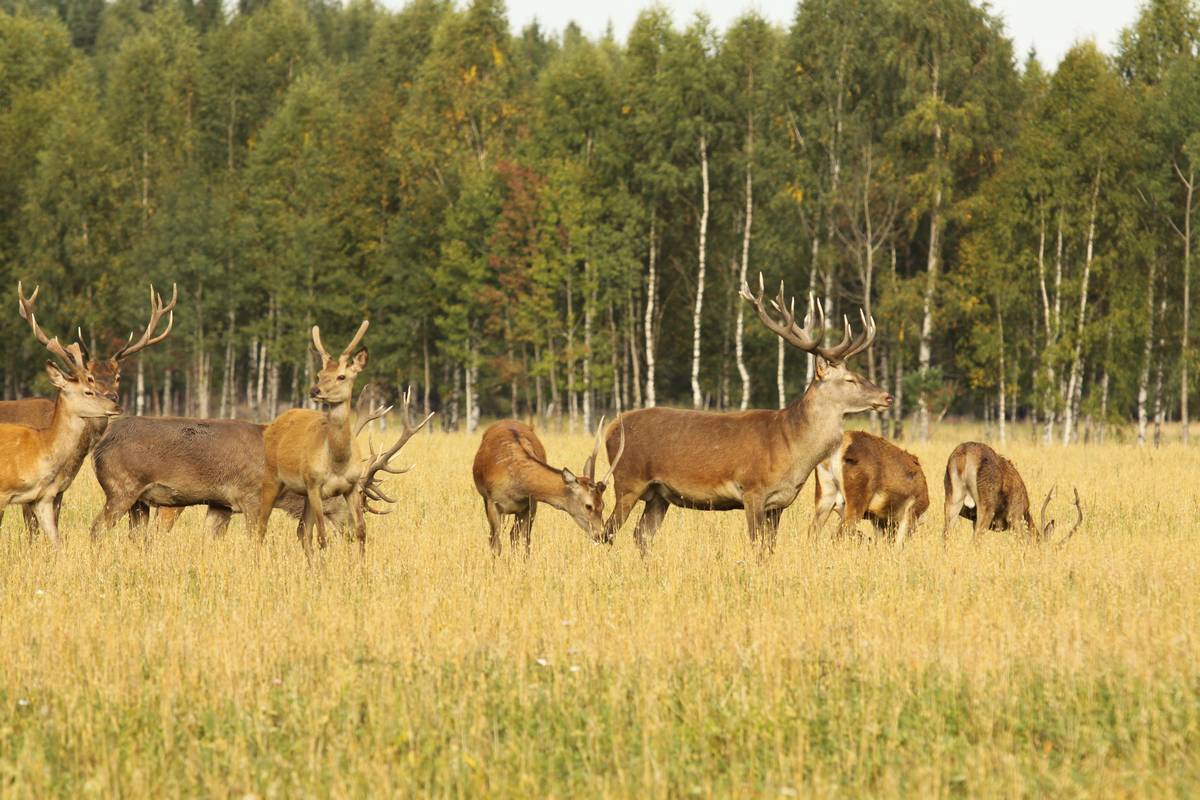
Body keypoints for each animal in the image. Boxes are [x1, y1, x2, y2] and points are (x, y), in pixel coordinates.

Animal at [255, 321, 434, 561]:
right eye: (319, 374)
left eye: (342, 376)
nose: (315, 390)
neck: (338, 462)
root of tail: (277, 420)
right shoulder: (316, 487)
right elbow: (323, 537)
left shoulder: (347, 487)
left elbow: (361, 532)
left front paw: (359, 564)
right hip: (273, 478)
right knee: (261, 527)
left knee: (302, 531)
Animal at [470, 419, 628, 556]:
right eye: (588, 506)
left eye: (603, 504)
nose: (602, 535)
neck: (516, 486)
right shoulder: (492, 502)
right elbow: (495, 544)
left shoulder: (530, 505)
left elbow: (525, 542)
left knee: (514, 535)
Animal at [600, 272, 892, 554]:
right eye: (850, 380)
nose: (887, 397)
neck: (792, 447)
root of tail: (611, 428)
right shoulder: (752, 490)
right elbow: (756, 546)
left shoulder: (778, 503)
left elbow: (769, 548)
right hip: (627, 481)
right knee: (607, 532)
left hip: (659, 494)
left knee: (641, 535)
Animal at [940, 441, 1084, 546]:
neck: (1026, 511)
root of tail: (964, 458)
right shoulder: (1015, 516)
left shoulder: (974, 520)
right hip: (987, 504)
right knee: (976, 540)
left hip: (951, 498)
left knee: (946, 535)